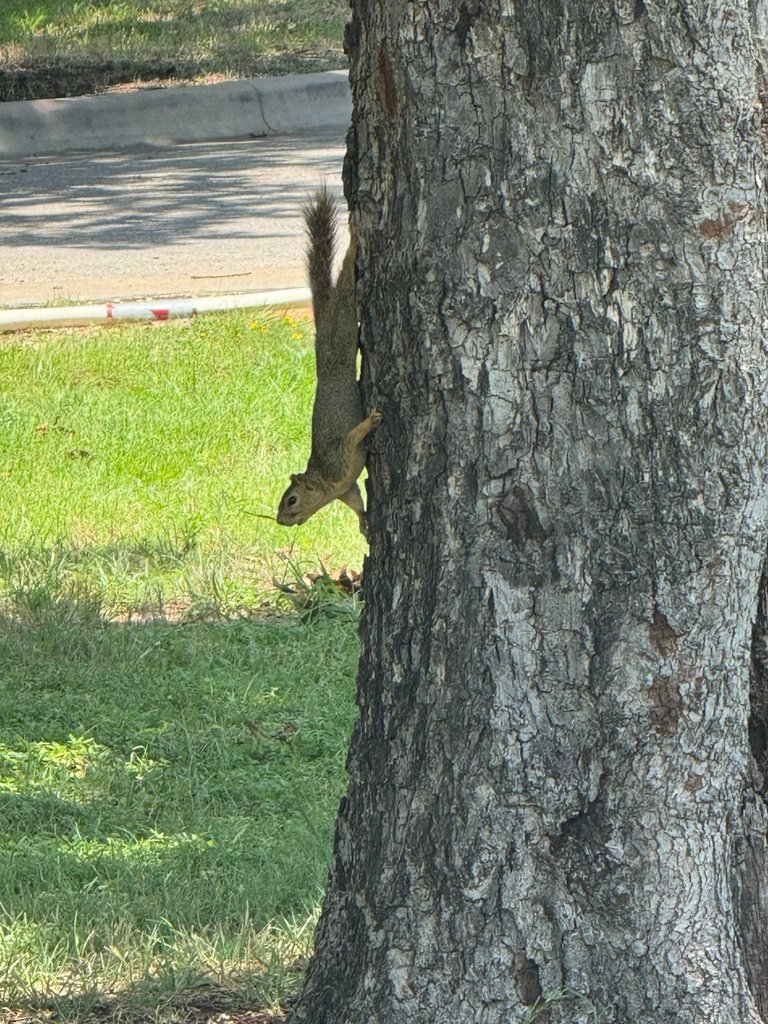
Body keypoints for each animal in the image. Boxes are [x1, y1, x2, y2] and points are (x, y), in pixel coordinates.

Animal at [278, 188, 382, 536]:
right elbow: (357, 502)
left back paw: (353, 240)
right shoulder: (345, 488)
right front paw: (363, 521)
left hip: (342, 329)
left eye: (292, 500)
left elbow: (352, 436)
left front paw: (370, 422)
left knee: (346, 281)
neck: (325, 481)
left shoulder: (339, 457)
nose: (280, 521)